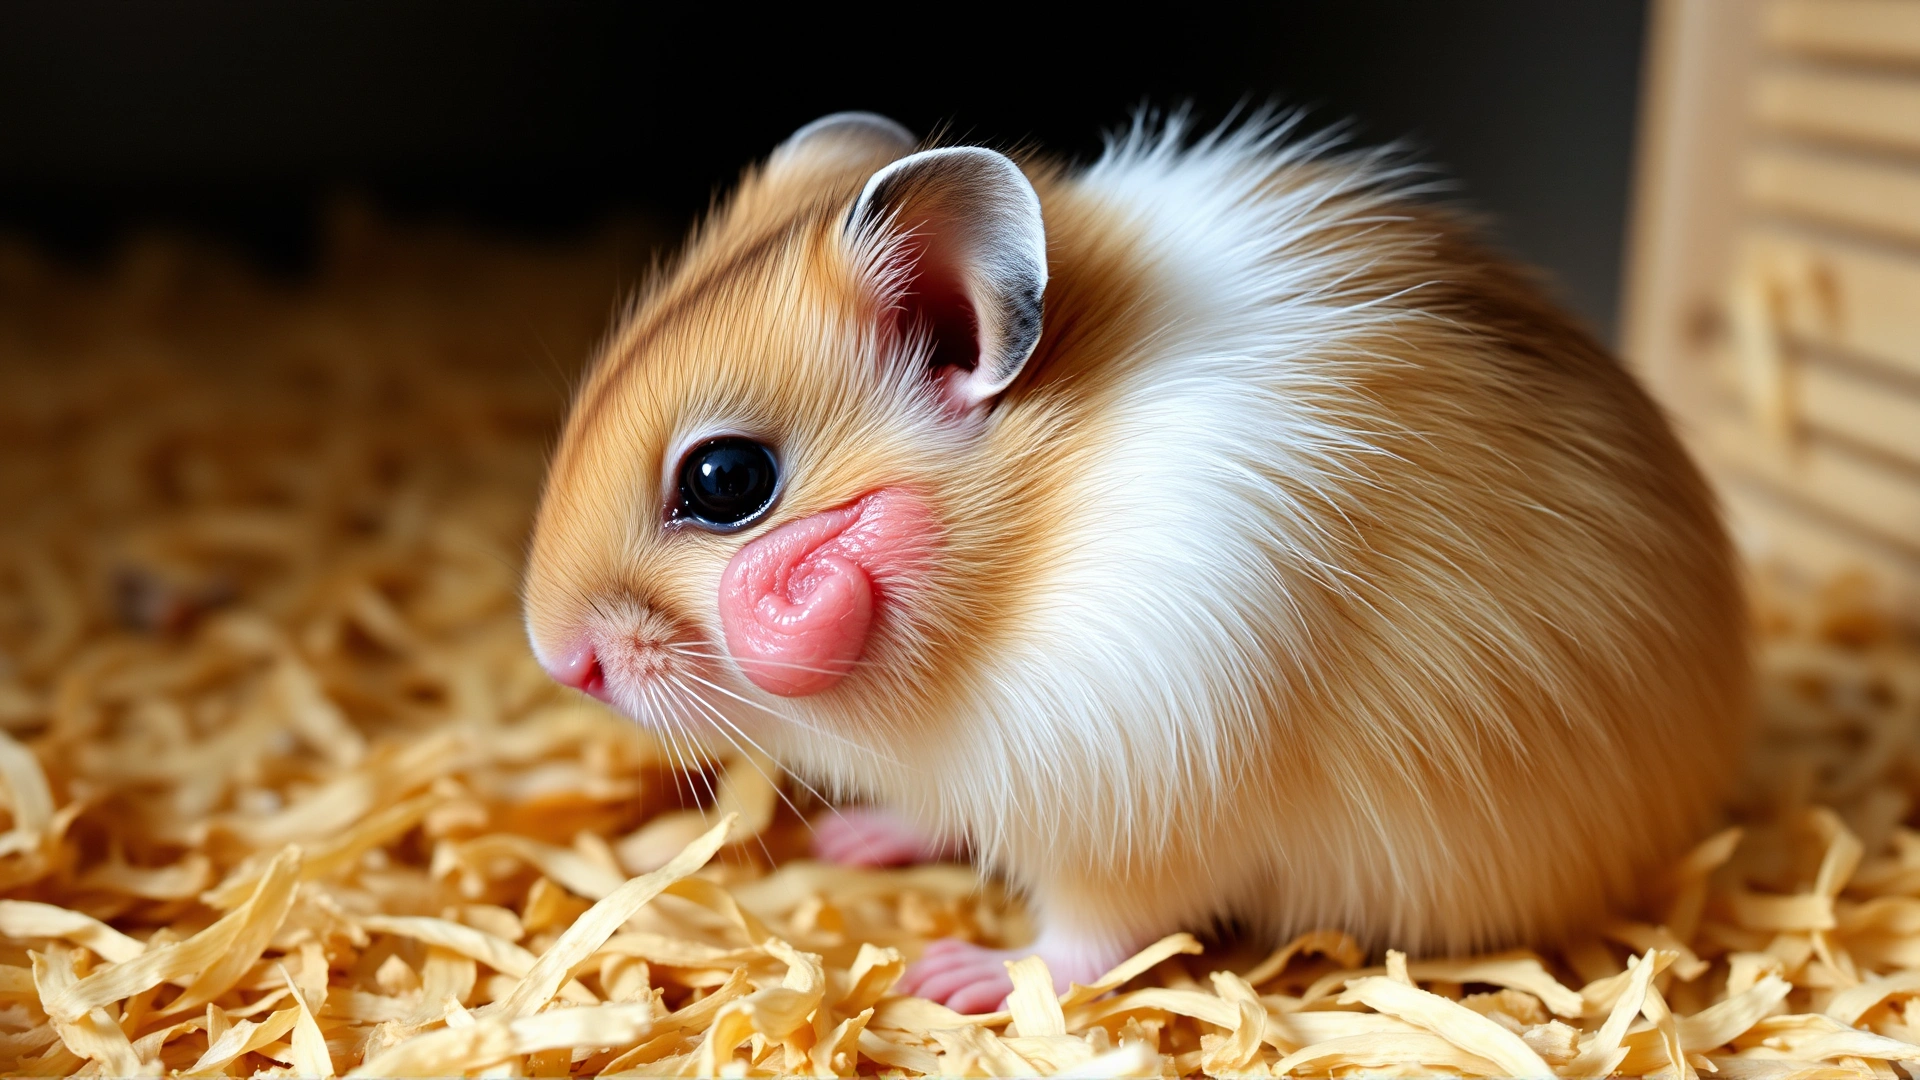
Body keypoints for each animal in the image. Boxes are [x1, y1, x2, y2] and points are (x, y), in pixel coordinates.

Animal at [522, 111, 1750, 1012]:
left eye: (726, 480)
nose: (553, 659)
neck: (1023, 562)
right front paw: (854, 837)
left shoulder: (1132, 808)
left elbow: (1088, 940)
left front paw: (952, 977)